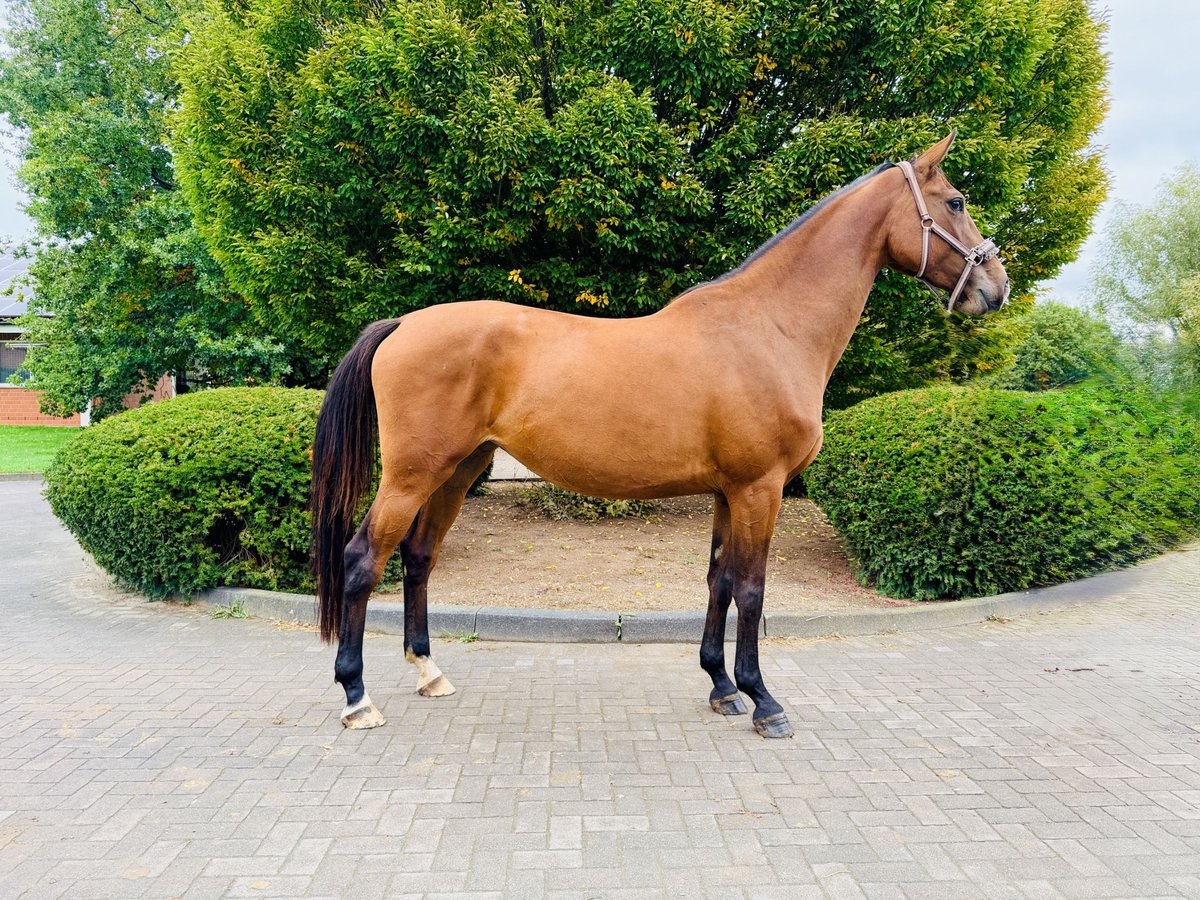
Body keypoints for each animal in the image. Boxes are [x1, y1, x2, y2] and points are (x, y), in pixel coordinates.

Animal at [310, 131, 1010, 739]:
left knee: (418, 557)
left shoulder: (730, 492)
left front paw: (722, 687)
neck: (769, 327)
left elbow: (719, 581)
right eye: (956, 202)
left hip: (458, 470)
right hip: (412, 474)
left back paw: (428, 672)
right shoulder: (760, 489)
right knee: (361, 560)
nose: (995, 288)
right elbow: (752, 591)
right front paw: (764, 701)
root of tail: (404, 324)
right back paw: (357, 697)